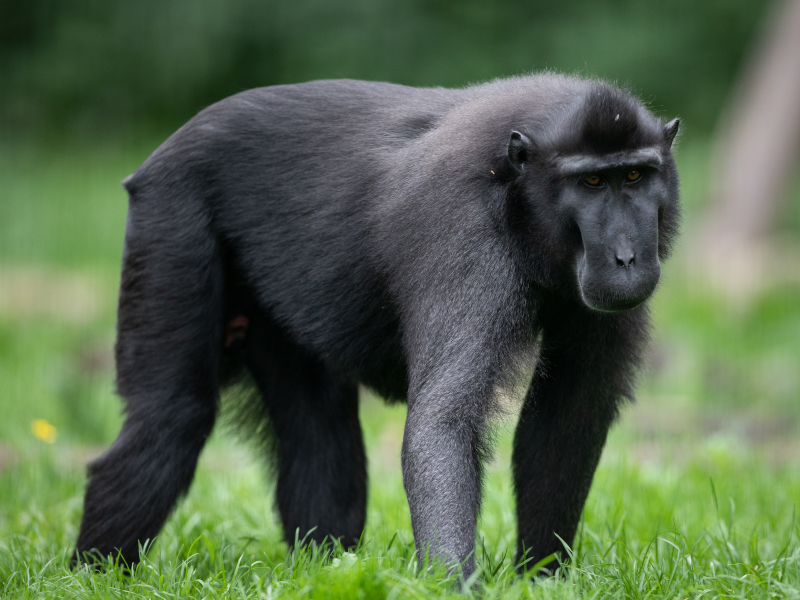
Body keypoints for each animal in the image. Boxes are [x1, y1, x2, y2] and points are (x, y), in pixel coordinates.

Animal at [73, 75, 680, 576]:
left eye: (634, 175)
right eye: (592, 183)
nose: (627, 258)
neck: (515, 188)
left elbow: (567, 420)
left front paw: (543, 577)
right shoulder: (464, 231)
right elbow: (441, 424)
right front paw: (455, 582)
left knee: (319, 432)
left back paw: (323, 566)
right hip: (169, 214)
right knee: (169, 419)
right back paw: (95, 573)